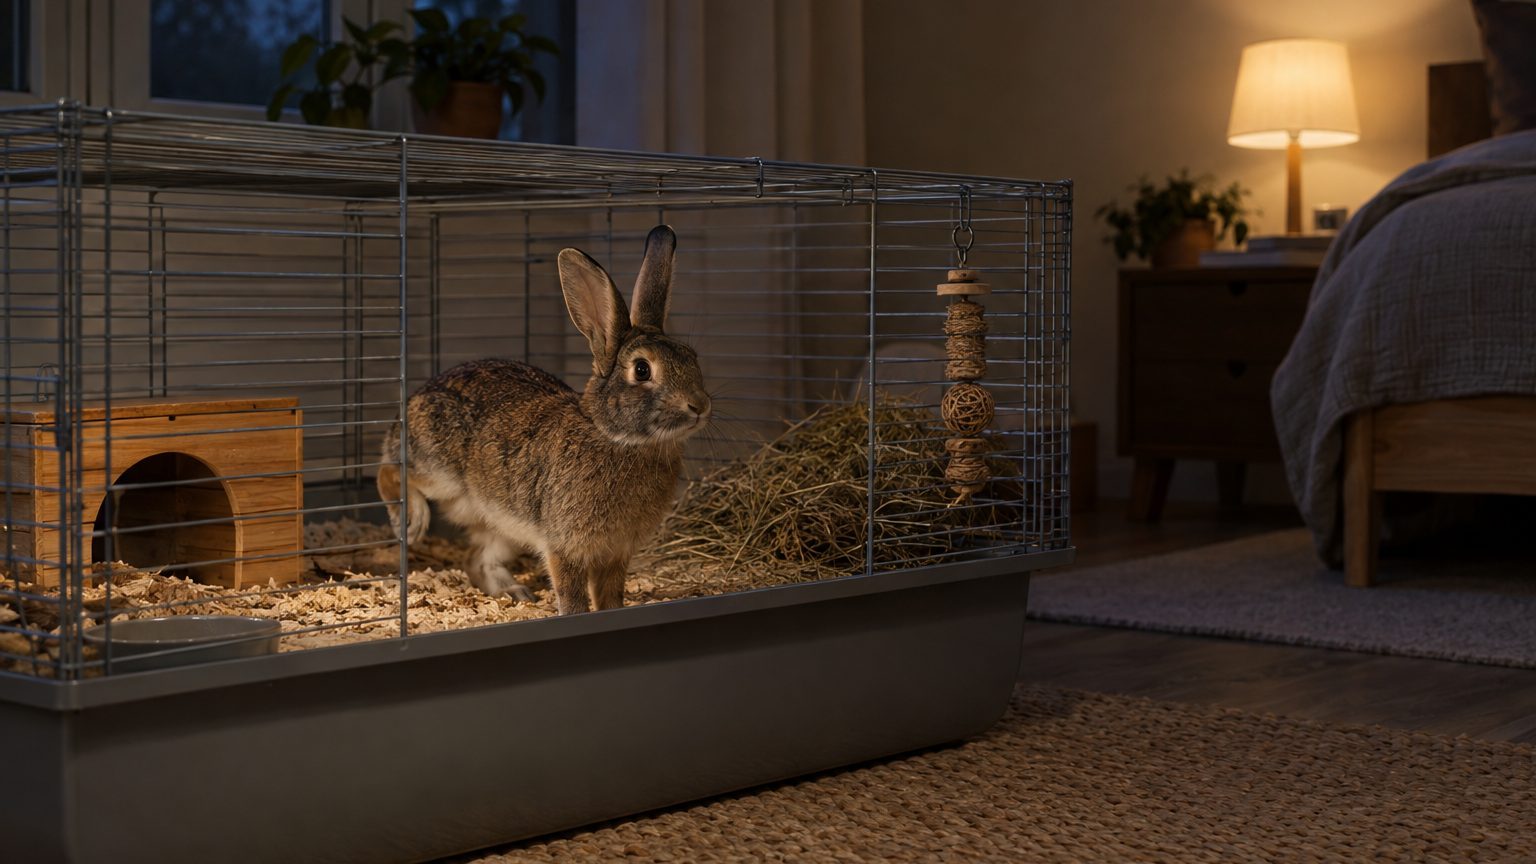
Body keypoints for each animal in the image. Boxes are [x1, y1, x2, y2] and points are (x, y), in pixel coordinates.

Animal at [376, 225, 711, 614]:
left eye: (692, 357)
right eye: (642, 370)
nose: (699, 405)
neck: (614, 436)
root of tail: (413, 402)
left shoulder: (616, 554)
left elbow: (610, 595)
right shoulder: (564, 545)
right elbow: (573, 594)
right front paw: (575, 616)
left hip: (504, 528)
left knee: (477, 559)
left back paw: (515, 594)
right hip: (442, 472)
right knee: (392, 470)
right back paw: (411, 522)